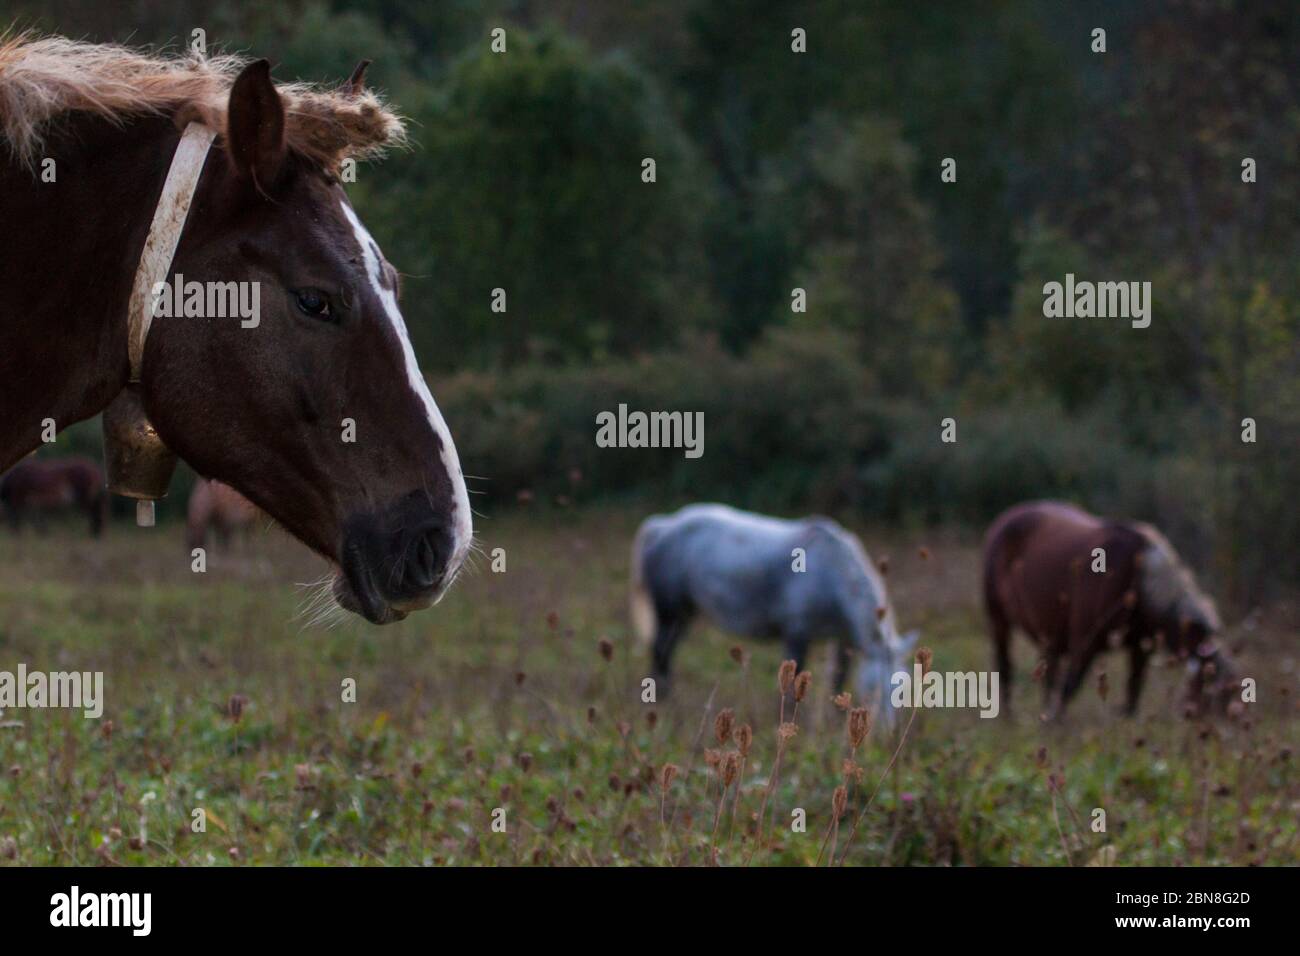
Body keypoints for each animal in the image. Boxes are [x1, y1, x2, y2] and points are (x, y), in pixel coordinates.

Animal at [626, 504, 915, 723]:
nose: (885, 733)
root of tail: (662, 526)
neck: (831, 574)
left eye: (902, 690)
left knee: (668, 649)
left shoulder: (841, 639)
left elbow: (838, 679)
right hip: (668, 611)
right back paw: (663, 699)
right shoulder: (797, 632)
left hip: (684, 614)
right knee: (660, 649)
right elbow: (794, 680)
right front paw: (788, 719)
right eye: (874, 687)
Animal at [977, 502, 1232, 717]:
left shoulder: (1141, 648)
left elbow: (1133, 693)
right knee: (1005, 667)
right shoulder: (1084, 642)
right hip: (998, 619)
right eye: (1216, 693)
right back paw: (1009, 717)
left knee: (1049, 672)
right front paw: (1053, 726)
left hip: (1050, 634)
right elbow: (1070, 687)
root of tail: (1004, 518)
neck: (1139, 581)